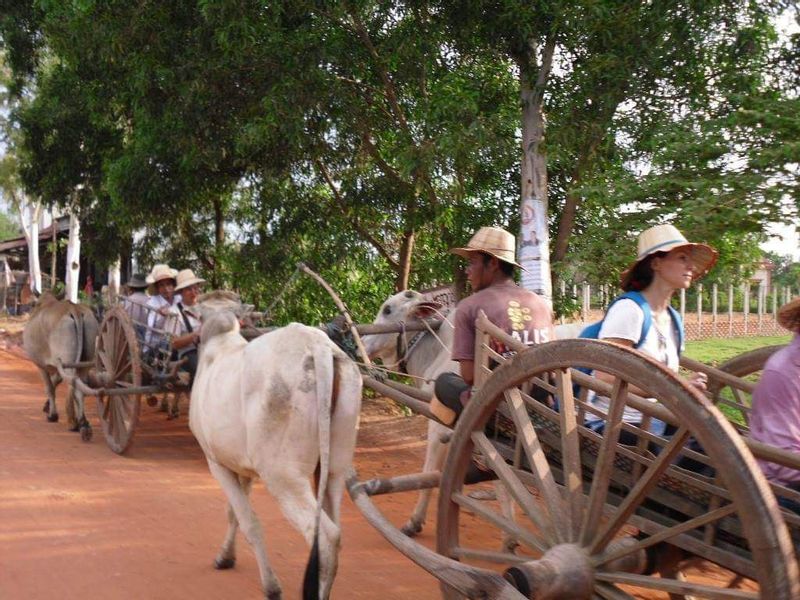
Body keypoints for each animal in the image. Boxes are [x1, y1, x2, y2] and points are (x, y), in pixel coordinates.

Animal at [22, 292, 98, 436]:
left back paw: (74, 422)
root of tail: (74, 309)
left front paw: (52, 415)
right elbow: (55, 382)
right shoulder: (57, 366)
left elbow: (50, 387)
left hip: (69, 363)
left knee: (73, 385)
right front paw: (47, 406)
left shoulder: (41, 365)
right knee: (80, 386)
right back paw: (83, 423)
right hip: (85, 362)